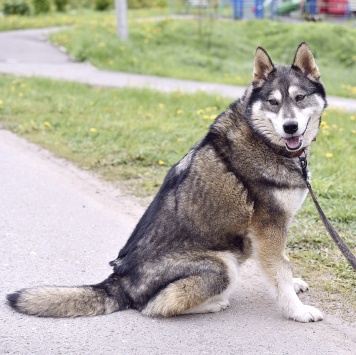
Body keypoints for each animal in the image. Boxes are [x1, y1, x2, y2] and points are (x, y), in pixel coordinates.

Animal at [6, 41, 328, 322]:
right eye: (273, 103)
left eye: (299, 98)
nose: (290, 127)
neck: (263, 138)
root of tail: (119, 280)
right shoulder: (268, 228)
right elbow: (279, 272)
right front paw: (297, 311)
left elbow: (282, 265)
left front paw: (295, 284)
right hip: (222, 264)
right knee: (157, 306)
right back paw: (213, 304)